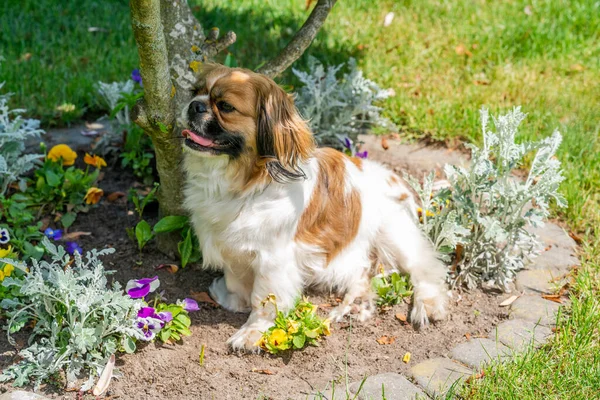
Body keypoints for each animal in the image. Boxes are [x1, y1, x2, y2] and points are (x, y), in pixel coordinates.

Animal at [178, 64, 446, 352]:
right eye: (194, 92)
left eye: (226, 106)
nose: (194, 105)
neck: (243, 185)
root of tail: (397, 181)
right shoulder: (232, 246)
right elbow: (235, 279)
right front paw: (232, 300)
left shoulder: (274, 260)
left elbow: (264, 300)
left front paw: (252, 332)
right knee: (363, 273)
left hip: (395, 234)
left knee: (424, 269)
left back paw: (427, 304)